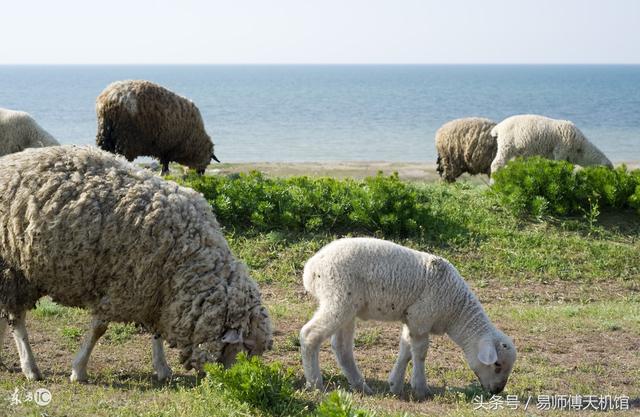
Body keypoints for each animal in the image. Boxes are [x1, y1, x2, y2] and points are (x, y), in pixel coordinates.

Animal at [0, 144, 272, 380]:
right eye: (244, 347)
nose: (229, 380)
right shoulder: (125, 286)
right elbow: (99, 329)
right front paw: (79, 370)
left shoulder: (156, 291)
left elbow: (157, 331)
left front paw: (162, 368)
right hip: (12, 269)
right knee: (17, 320)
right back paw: (31, 368)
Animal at [298, 236, 516, 398]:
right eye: (497, 365)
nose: (497, 391)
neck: (456, 310)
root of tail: (311, 268)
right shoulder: (422, 318)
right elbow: (420, 352)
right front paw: (421, 388)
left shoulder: (412, 319)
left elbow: (405, 349)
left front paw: (395, 384)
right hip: (338, 297)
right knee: (310, 334)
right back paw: (315, 383)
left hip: (348, 305)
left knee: (342, 347)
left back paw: (361, 386)